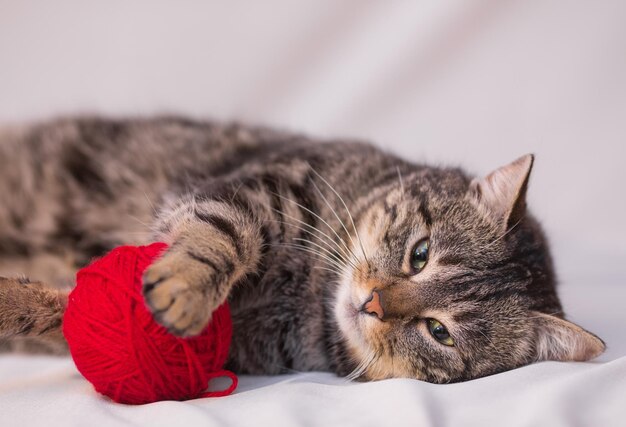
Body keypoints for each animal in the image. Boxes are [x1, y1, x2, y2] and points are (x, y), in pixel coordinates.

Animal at [0, 116, 604, 384]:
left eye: (439, 332)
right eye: (420, 253)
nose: (372, 304)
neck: (310, 295)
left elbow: (72, 315)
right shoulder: (262, 188)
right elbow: (219, 236)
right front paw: (185, 285)